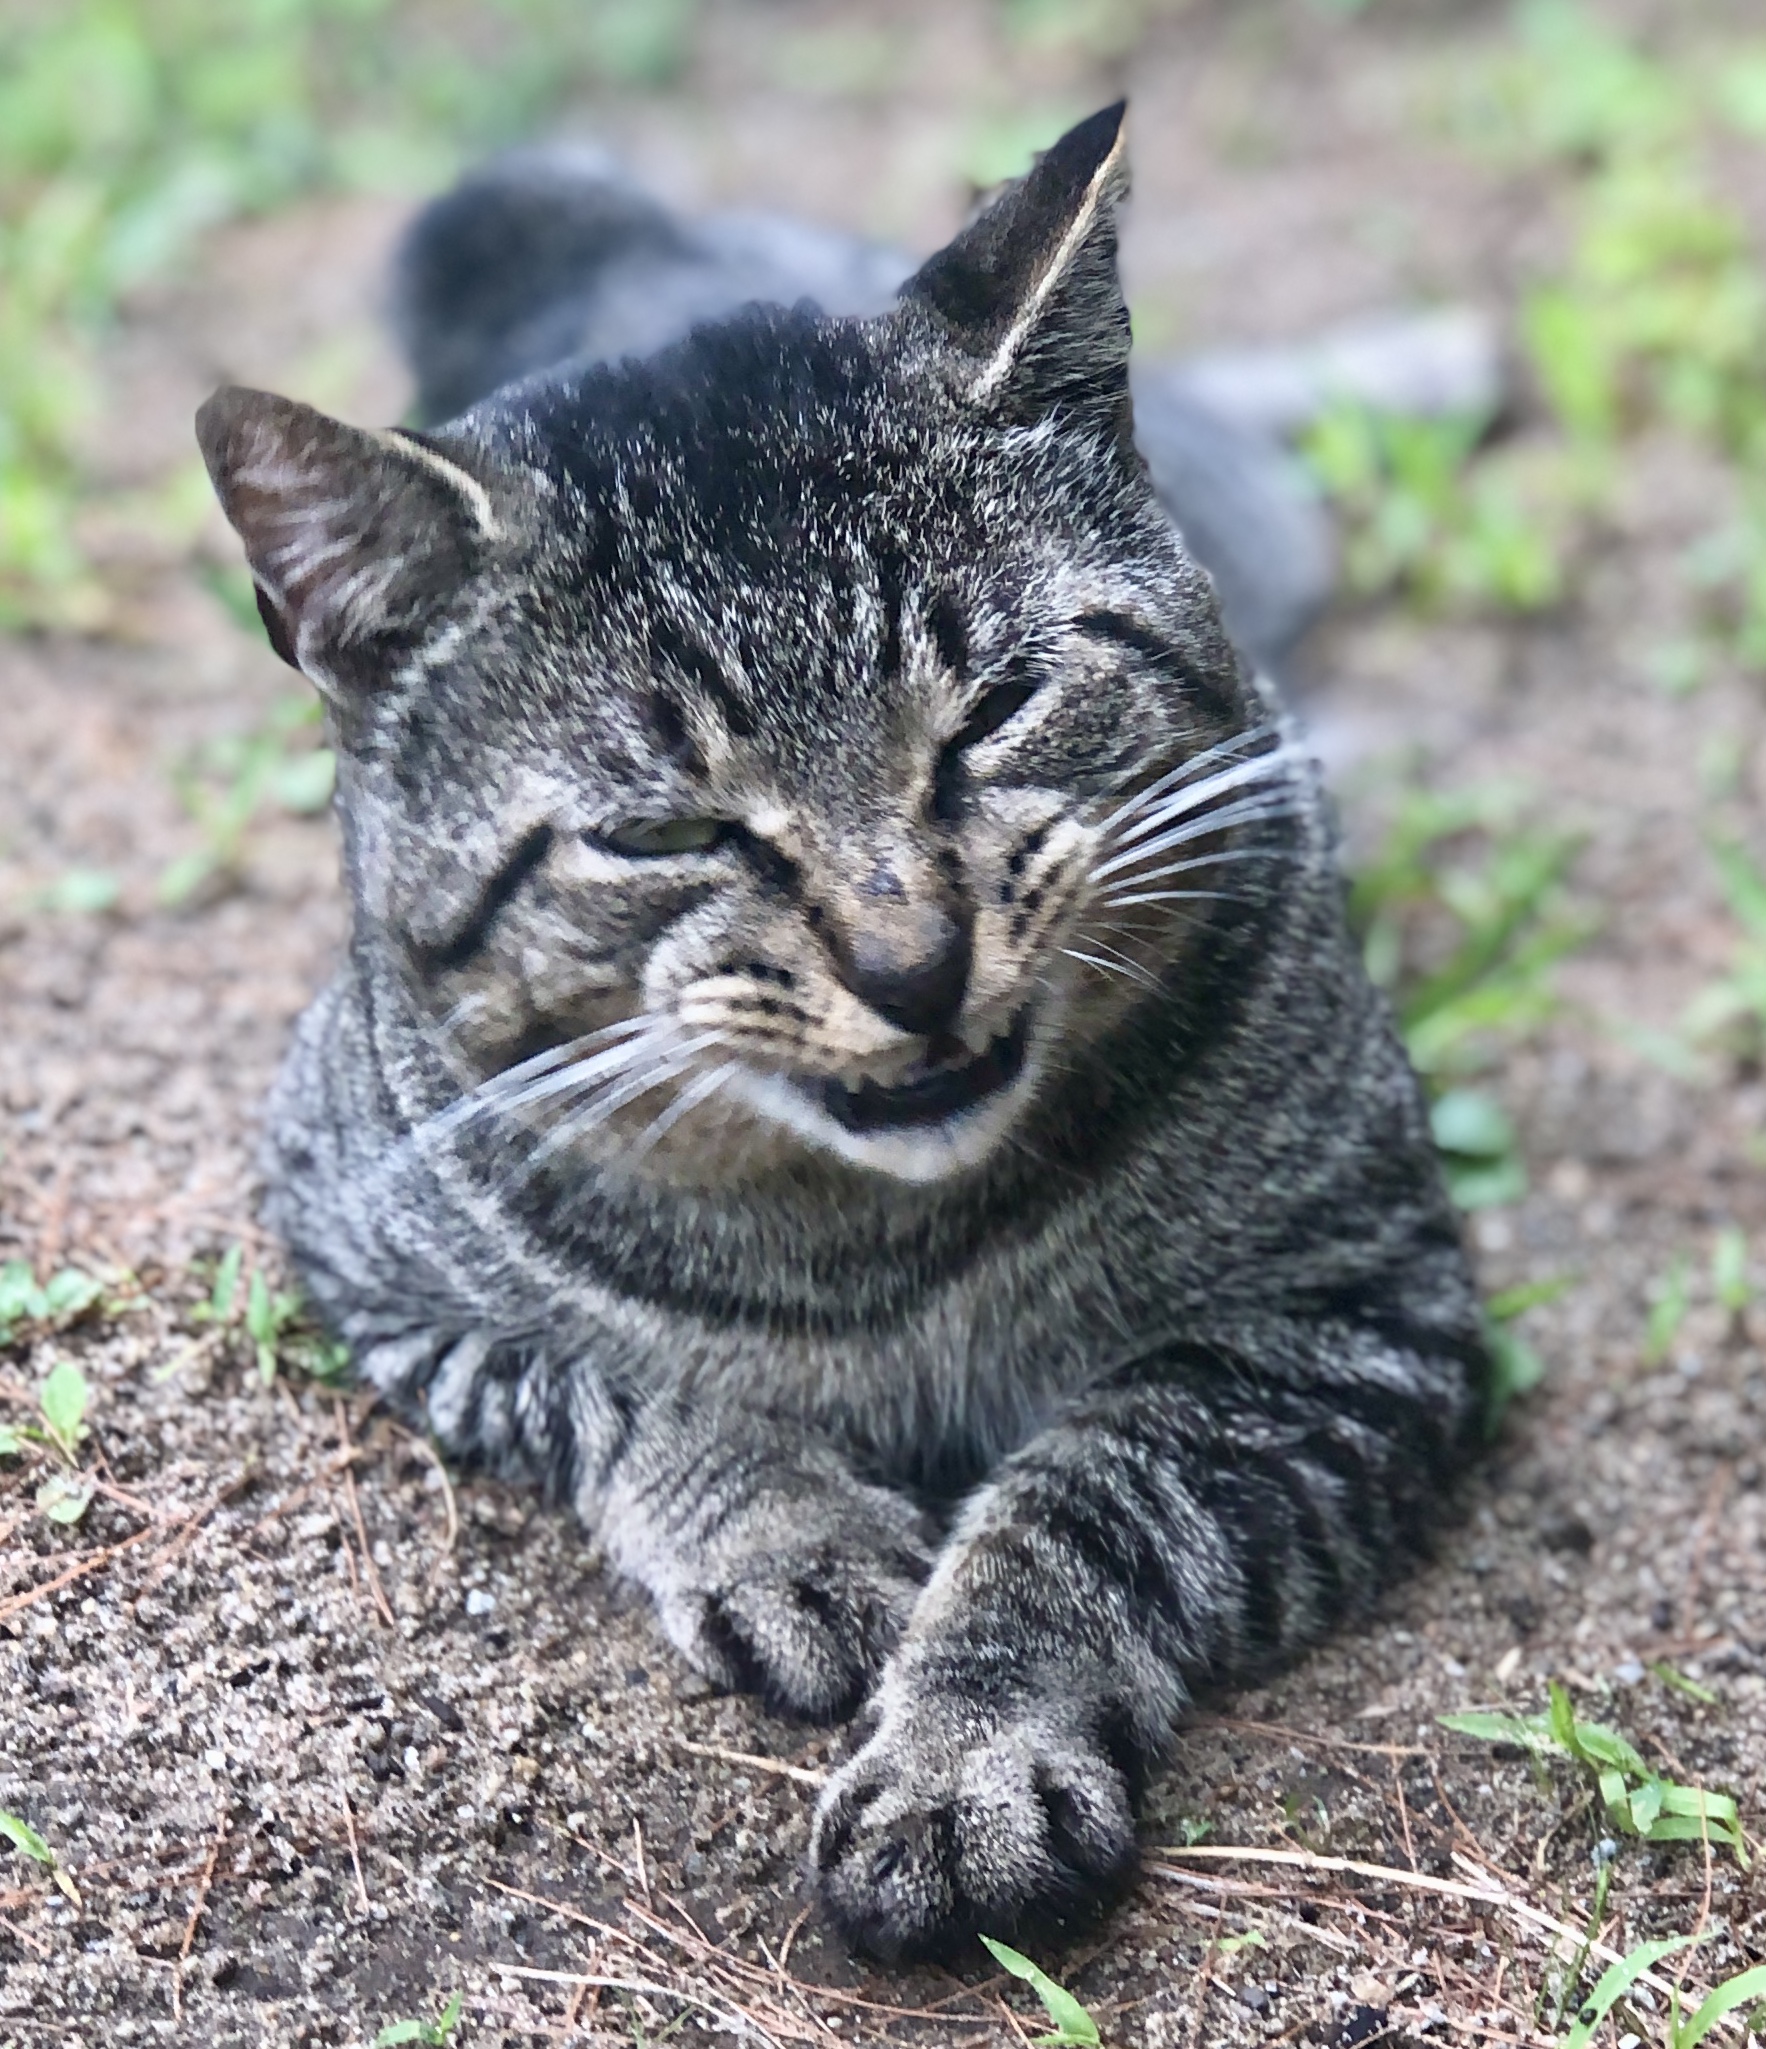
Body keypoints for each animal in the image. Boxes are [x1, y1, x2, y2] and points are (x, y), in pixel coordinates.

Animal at [196, 103, 1491, 1958]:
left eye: (997, 706)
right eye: (663, 832)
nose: (913, 963)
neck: (882, 1244)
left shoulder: (1350, 1301)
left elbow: (1091, 1492)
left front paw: (966, 1755)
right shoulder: (364, 1251)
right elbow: (638, 1389)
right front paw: (789, 1537)